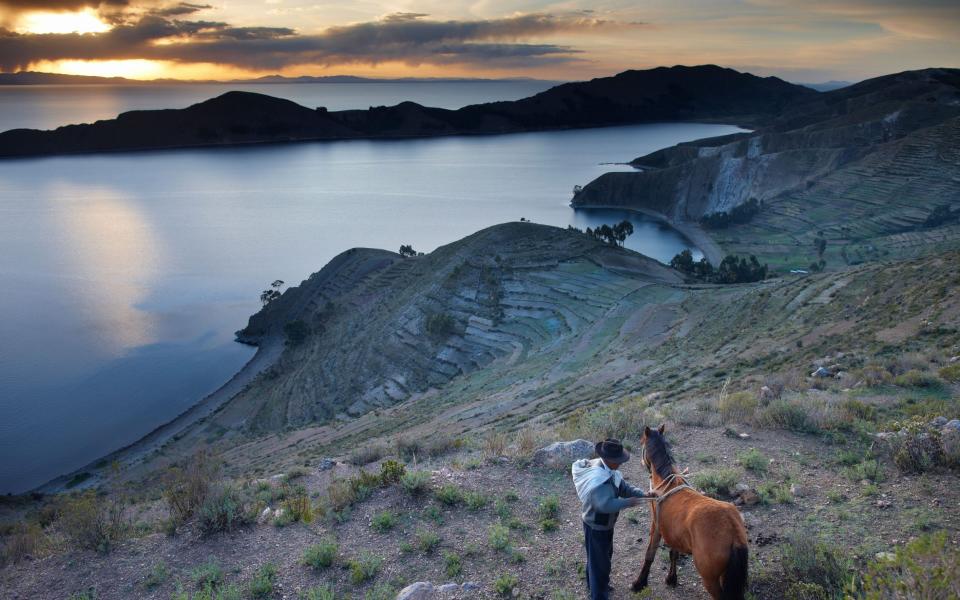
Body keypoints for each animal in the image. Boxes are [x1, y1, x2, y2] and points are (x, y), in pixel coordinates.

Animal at [632, 424, 752, 596]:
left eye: (642, 442)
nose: (642, 463)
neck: (667, 482)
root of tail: (733, 532)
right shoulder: (674, 532)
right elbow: (673, 554)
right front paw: (672, 578)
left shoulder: (656, 526)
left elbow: (650, 554)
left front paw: (639, 583)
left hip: (711, 581)